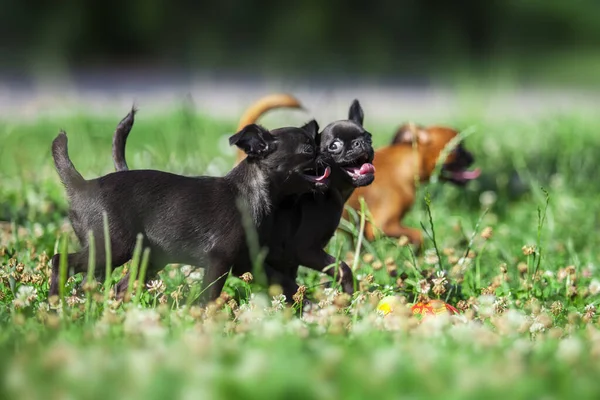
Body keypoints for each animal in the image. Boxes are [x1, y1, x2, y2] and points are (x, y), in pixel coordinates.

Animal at [49, 118, 328, 304]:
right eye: (308, 150)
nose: (326, 153)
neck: (253, 192)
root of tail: (82, 186)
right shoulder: (219, 261)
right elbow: (209, 297)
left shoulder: (248, 263)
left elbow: (287, 284)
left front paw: (309, 307)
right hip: (113, 247)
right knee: (60, 261)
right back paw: (54, 304)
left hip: (145, 258)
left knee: (113, 286)